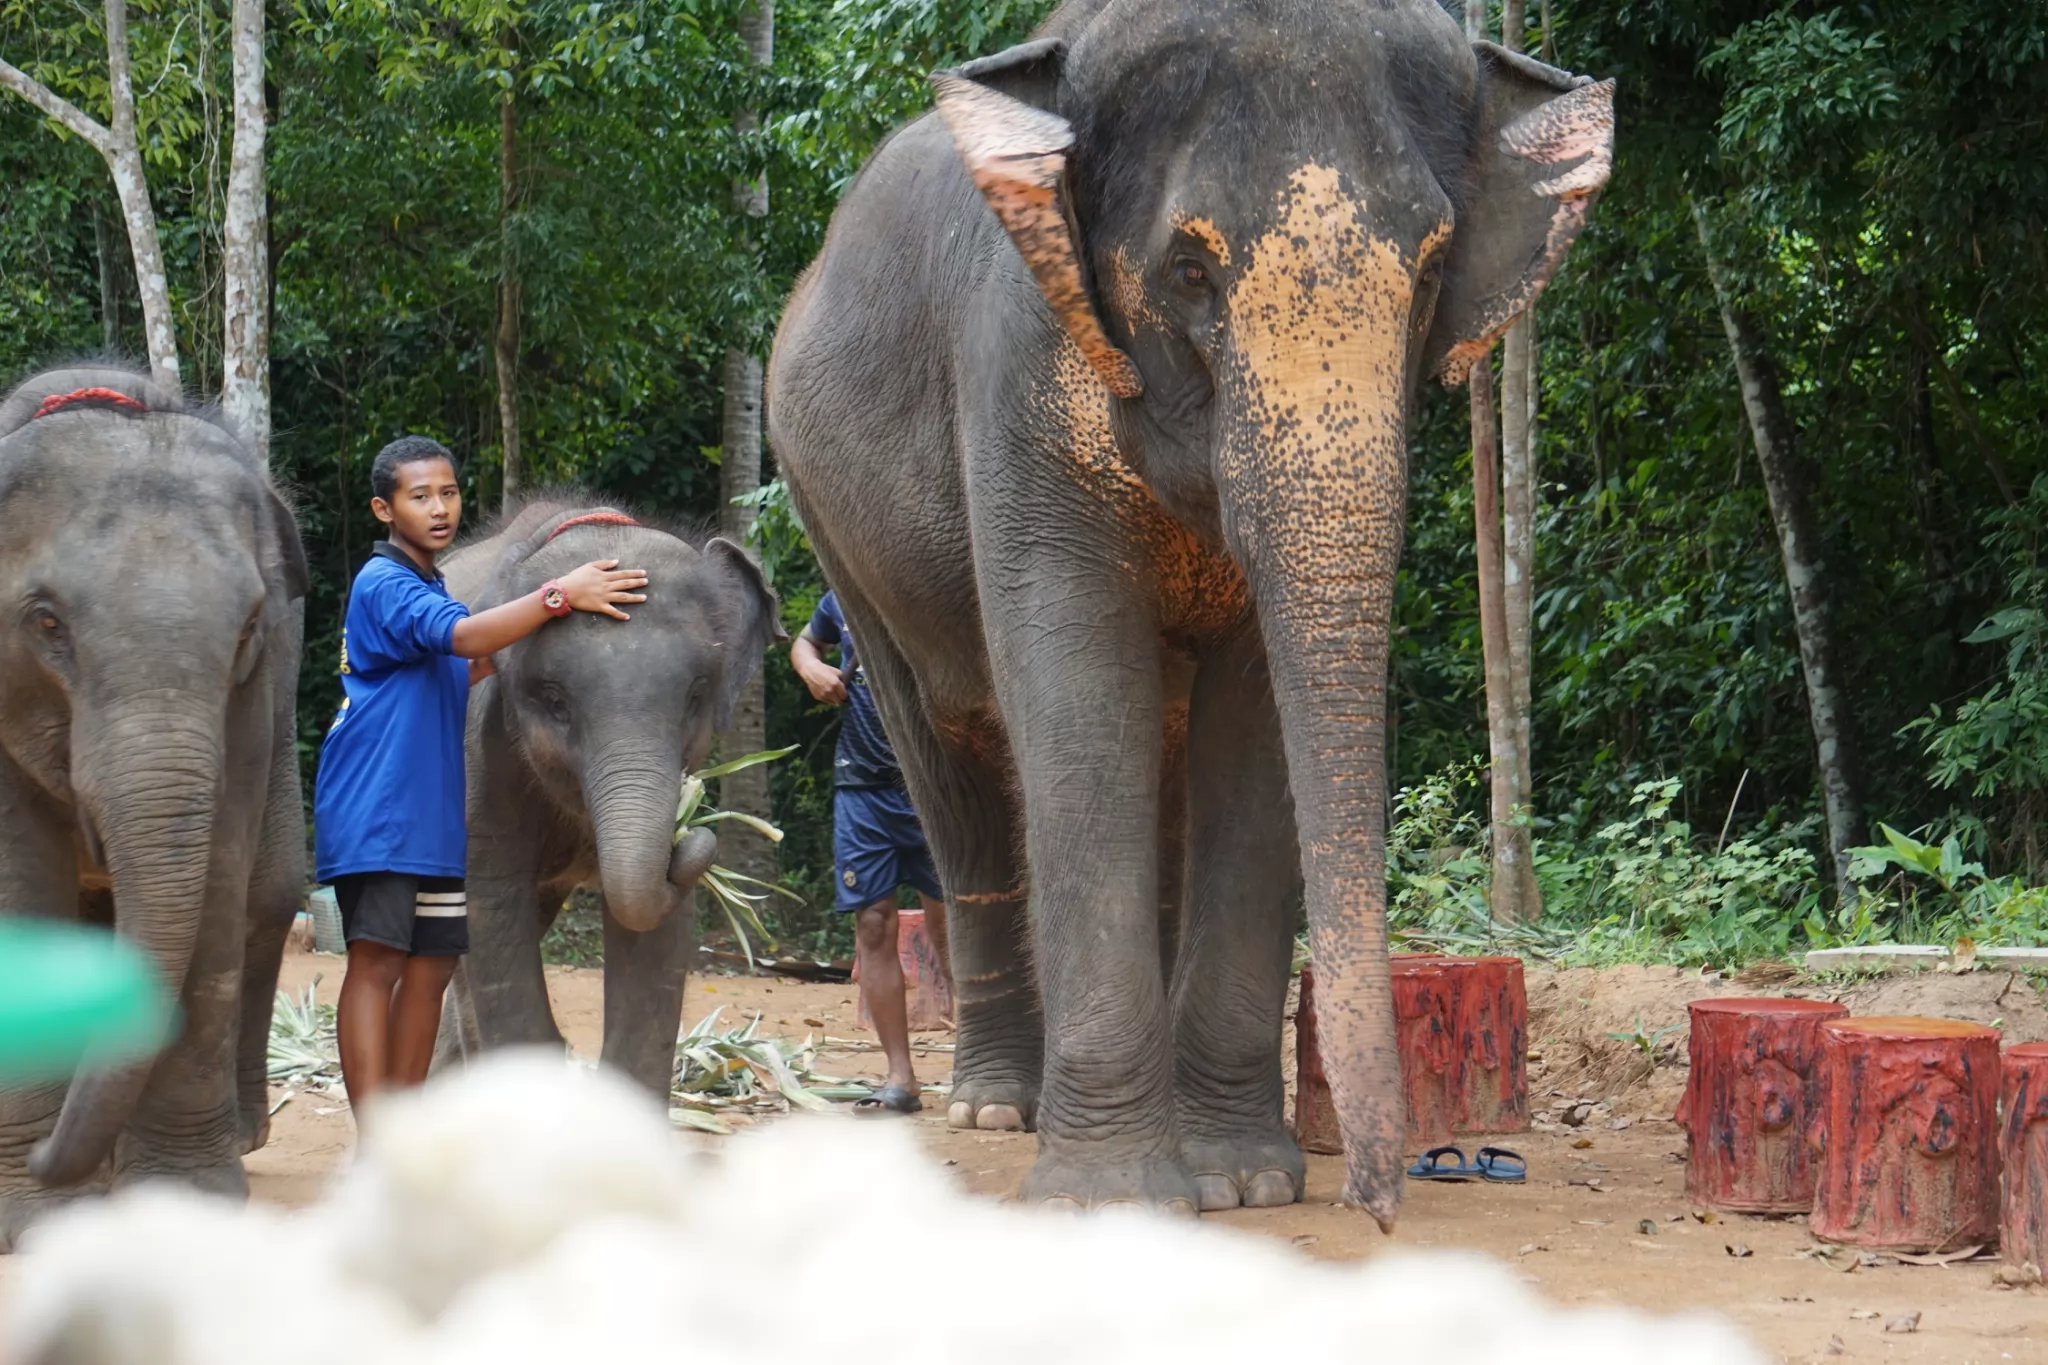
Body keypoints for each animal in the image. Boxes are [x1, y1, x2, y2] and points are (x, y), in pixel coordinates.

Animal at [0, 366, 309, 1250]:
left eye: (248, 627)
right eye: (45, 621)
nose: (43, 1157)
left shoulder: (251, 705)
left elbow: (217, 888)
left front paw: (186, 1201)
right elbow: (21, 890)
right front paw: (42, 1214)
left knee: (270, 894)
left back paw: (240, 1134)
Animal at [431, 498, 785, 1097]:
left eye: (696, 694)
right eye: (554, 701)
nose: (699, 832)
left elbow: (655, 925)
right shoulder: (478, 748)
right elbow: (490, 900)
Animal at [767, 0, 1613, 1224]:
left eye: (1431, 265)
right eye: (1188, 269)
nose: (1381, 1199)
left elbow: (1249, 736)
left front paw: (1242, 1183)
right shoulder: (1019, 381)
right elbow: (1082, 705)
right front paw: (1112, 1202)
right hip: (832, 520)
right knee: (952, 762)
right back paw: (994, 1110)